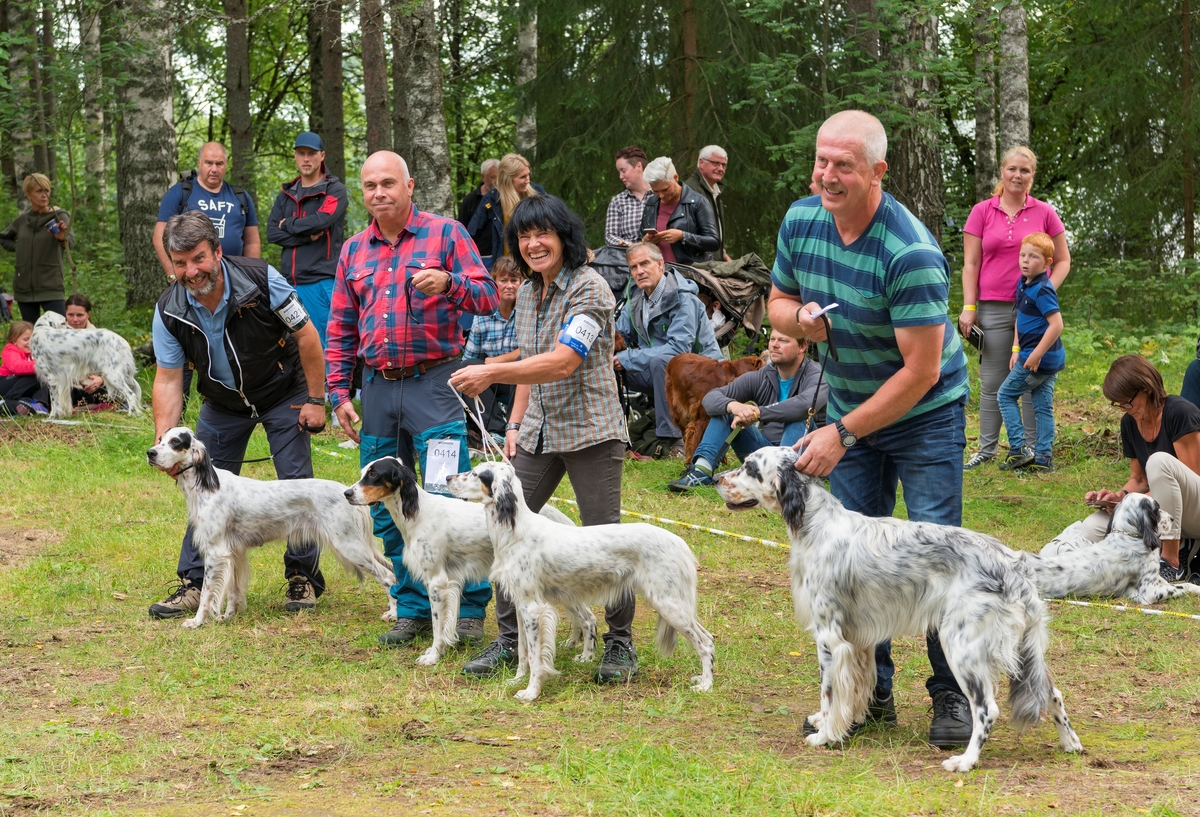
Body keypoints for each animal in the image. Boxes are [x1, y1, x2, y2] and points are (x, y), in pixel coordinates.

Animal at [147, 427, 395, 628]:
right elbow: (234, 592)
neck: (207, 486)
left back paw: (393, 613)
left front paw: (197, 621)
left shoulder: (216, 552)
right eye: (160, 439)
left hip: (350, 546)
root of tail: (348, 491)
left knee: (388, 577)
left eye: (175, 442)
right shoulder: (234, 552)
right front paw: (228, 616)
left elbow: (207, 593)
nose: (150, 453)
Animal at [344, 456, 597, 666]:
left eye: (374, 475)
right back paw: (573, 643)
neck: (418, 512)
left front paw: (433, 656)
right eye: (364, 472)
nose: (347, 493)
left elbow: (437, 626)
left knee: (589, 618)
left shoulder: (437, 582)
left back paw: (587, 656)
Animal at [447, 460, 714, 702]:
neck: (516, 531)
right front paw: (517, 679)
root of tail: (679, 542)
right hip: (673, 604)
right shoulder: (521, 606)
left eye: (475, 473)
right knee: (708, 638)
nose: (448, 477)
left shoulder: (533, 608)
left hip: (669, 603)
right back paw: (702, 678)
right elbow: (523, 652)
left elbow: (535, 656)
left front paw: (531, 692)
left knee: (705, 643)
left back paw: (705, 685)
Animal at [714, 447, 1081, 772]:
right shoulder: (858, 640)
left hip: (961, 646)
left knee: (987, 709)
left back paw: (965, 761)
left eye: (750, 467)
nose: (716, 478)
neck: (817, 524)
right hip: (1025, 648)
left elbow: (829, 691)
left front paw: (825, 735)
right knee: (1052, 692)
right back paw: (1070, 743)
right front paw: (844, 721)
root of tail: (1015, 563)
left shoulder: (830, 637)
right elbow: (857, 687)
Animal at [1027, 494, 1200, 604]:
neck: (1128, 537)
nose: (1172, 518)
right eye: (1156, 509)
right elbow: (1178, 587)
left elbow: (1179, 583)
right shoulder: (1149, 593)